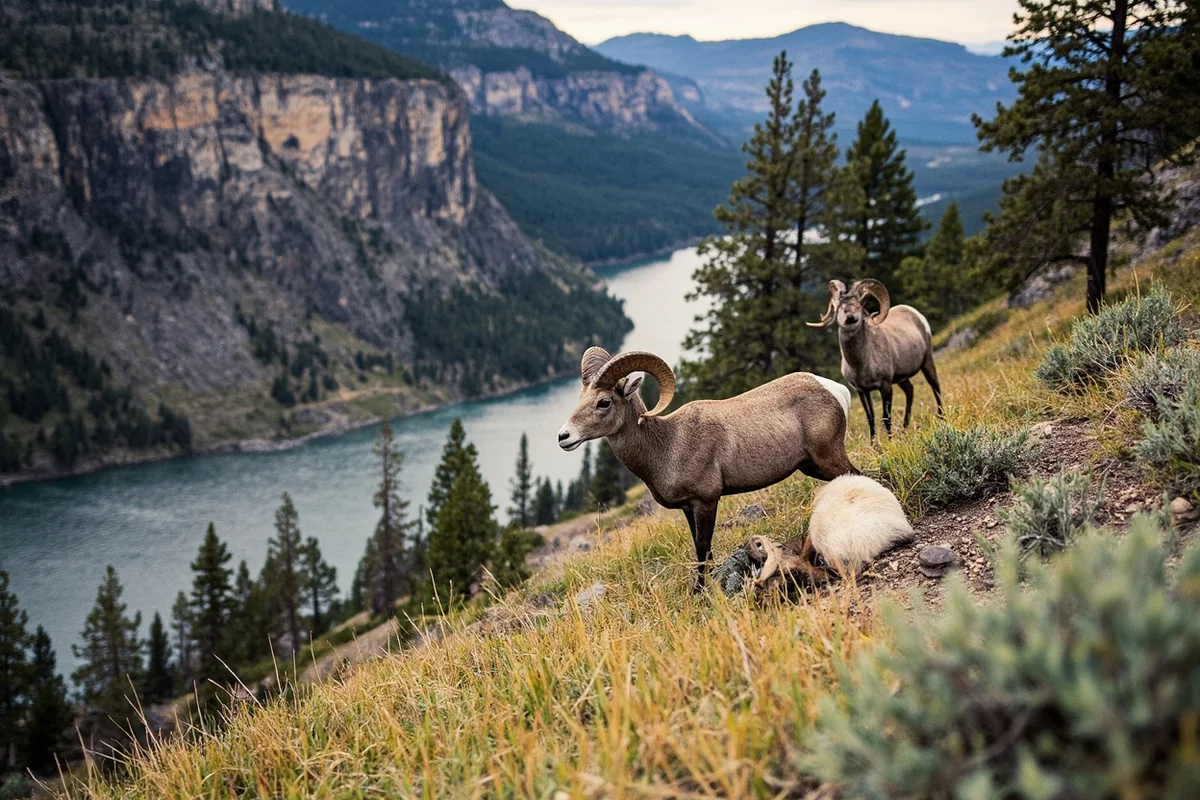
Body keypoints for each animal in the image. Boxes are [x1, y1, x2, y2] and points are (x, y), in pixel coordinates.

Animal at [557, 347, 859, 591]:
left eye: (604, 402)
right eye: (581, 399)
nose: (564, 437)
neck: (668, 445)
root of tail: (834, 389)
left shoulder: (706, 502)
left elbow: (702, 547)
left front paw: (699, 590)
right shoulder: (689, 508)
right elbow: (701, 546)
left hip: (828, 458)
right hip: (812, 466)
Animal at [808, 279, 944, 440]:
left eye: (859, 304)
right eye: (840, 306)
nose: (850, 318)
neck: (860, 364)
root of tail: (915, 313)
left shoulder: (885, 386)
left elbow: (886, 417)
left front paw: (890, 441)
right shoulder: (862, 390)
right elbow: (870, 417)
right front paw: (874, 443)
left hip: (927, 361)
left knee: (935, 386)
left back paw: (941, 418)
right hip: (902, 379)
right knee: (910, 390)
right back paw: (904, 429)